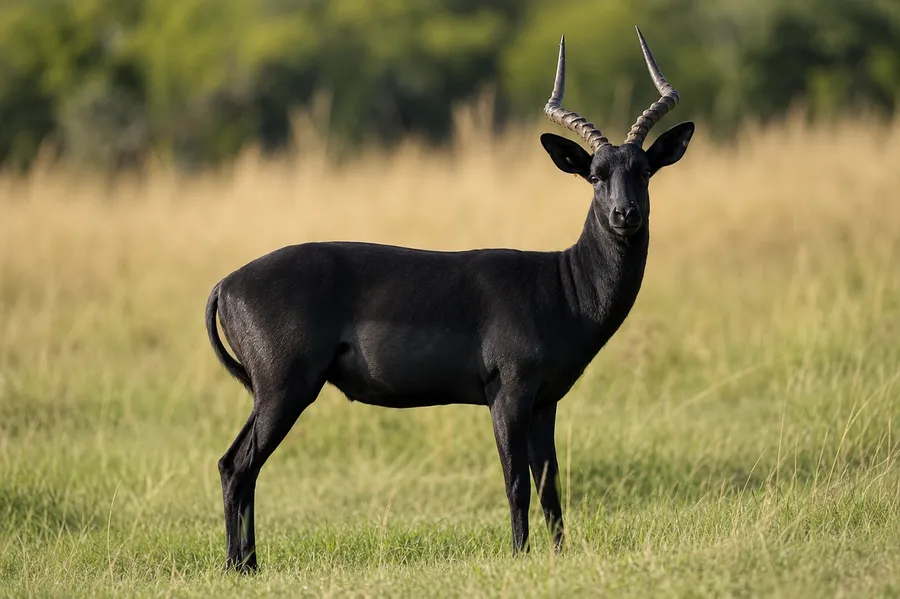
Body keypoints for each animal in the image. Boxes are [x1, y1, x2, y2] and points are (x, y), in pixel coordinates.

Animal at [206, 27, 694, 572]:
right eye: (594, 175)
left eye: (645, 171)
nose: (624, 214)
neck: (561, 285)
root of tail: (225, 284)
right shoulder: (508, 394)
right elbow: (515, 482)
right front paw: (519, 555)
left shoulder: (545, 402)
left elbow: (550, 484)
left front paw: (558, 555)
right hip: (285, 390)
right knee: (236, 465)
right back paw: (241, 566)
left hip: (273, 393)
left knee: (237, 466)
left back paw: (246, 565)